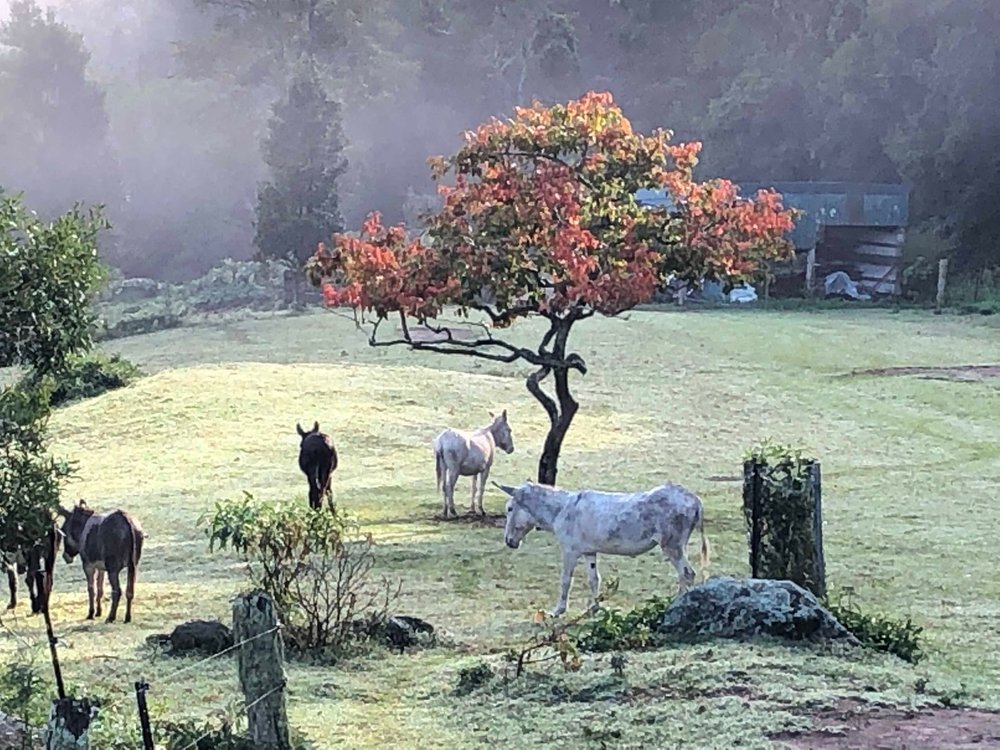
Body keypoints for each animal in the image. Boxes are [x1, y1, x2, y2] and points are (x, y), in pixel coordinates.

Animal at [496, 482, 708, 616]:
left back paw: (678, 604)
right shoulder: (589, 552)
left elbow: (565, 581)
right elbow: (593, 579)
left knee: (687, 573)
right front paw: (593, 609)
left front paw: (558, 611)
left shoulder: (570, 551)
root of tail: (693, 498)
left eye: (509, 509)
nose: (509, 542)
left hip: (672, 546)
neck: (561, 510)